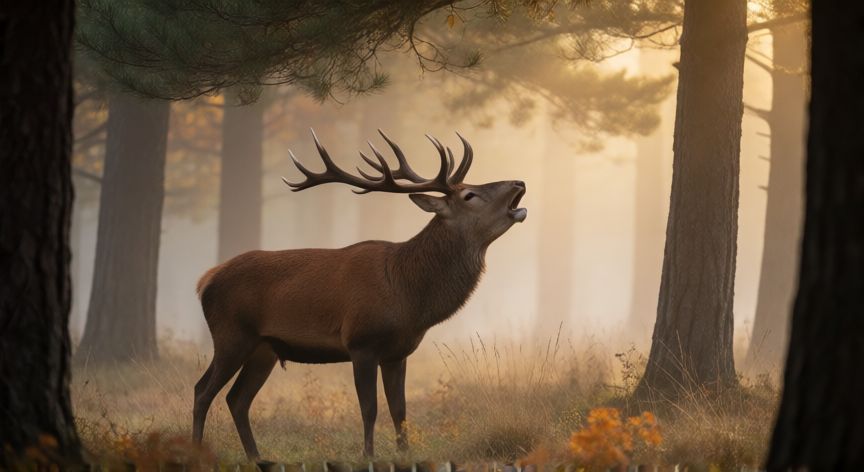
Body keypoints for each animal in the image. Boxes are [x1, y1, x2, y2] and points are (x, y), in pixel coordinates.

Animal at [192, 129, 527, 459]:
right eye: (469, 195)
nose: (519, 182)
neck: (408, 296)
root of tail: (205, 280)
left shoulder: (398, 352)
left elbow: (399, 410)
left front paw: (404, 454)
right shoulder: (361, 341)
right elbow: (370, 408)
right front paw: (368, 456)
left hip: (265, 348)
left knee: (237, 399)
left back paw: (256, 458)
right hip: (231, 335)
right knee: (203, 390)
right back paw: (196, 450)